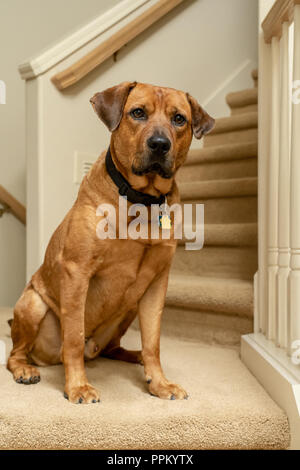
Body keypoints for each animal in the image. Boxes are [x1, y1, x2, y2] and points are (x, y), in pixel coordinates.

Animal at [6, 81, 213, 404]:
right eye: (138, 113)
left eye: (179, 119)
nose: (159, 144)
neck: (142, 200)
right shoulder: (77, 272)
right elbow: (73, 338)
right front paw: (78, 386)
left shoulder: (157, 283)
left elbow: (153, 341)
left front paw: (159, 382)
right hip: (32, 304)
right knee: (16, 353)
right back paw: (25, 370)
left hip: (130, 307)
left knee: (114, 348)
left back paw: (134, 356)